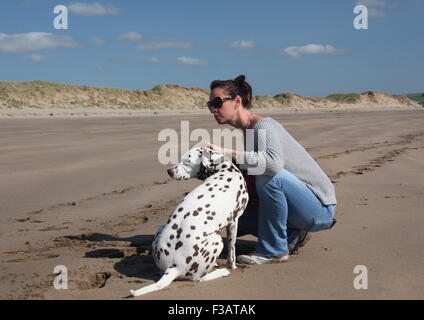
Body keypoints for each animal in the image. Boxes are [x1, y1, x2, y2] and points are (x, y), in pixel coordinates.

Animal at [129, 146, 248, 296]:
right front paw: (232, 265)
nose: (169, 171)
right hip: (217, 242)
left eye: (187, 162)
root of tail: (174, 267)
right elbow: (232, 248)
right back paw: (221, 272)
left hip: (160, 229)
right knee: (199, 278)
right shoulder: (234, 222)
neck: (223, 170)